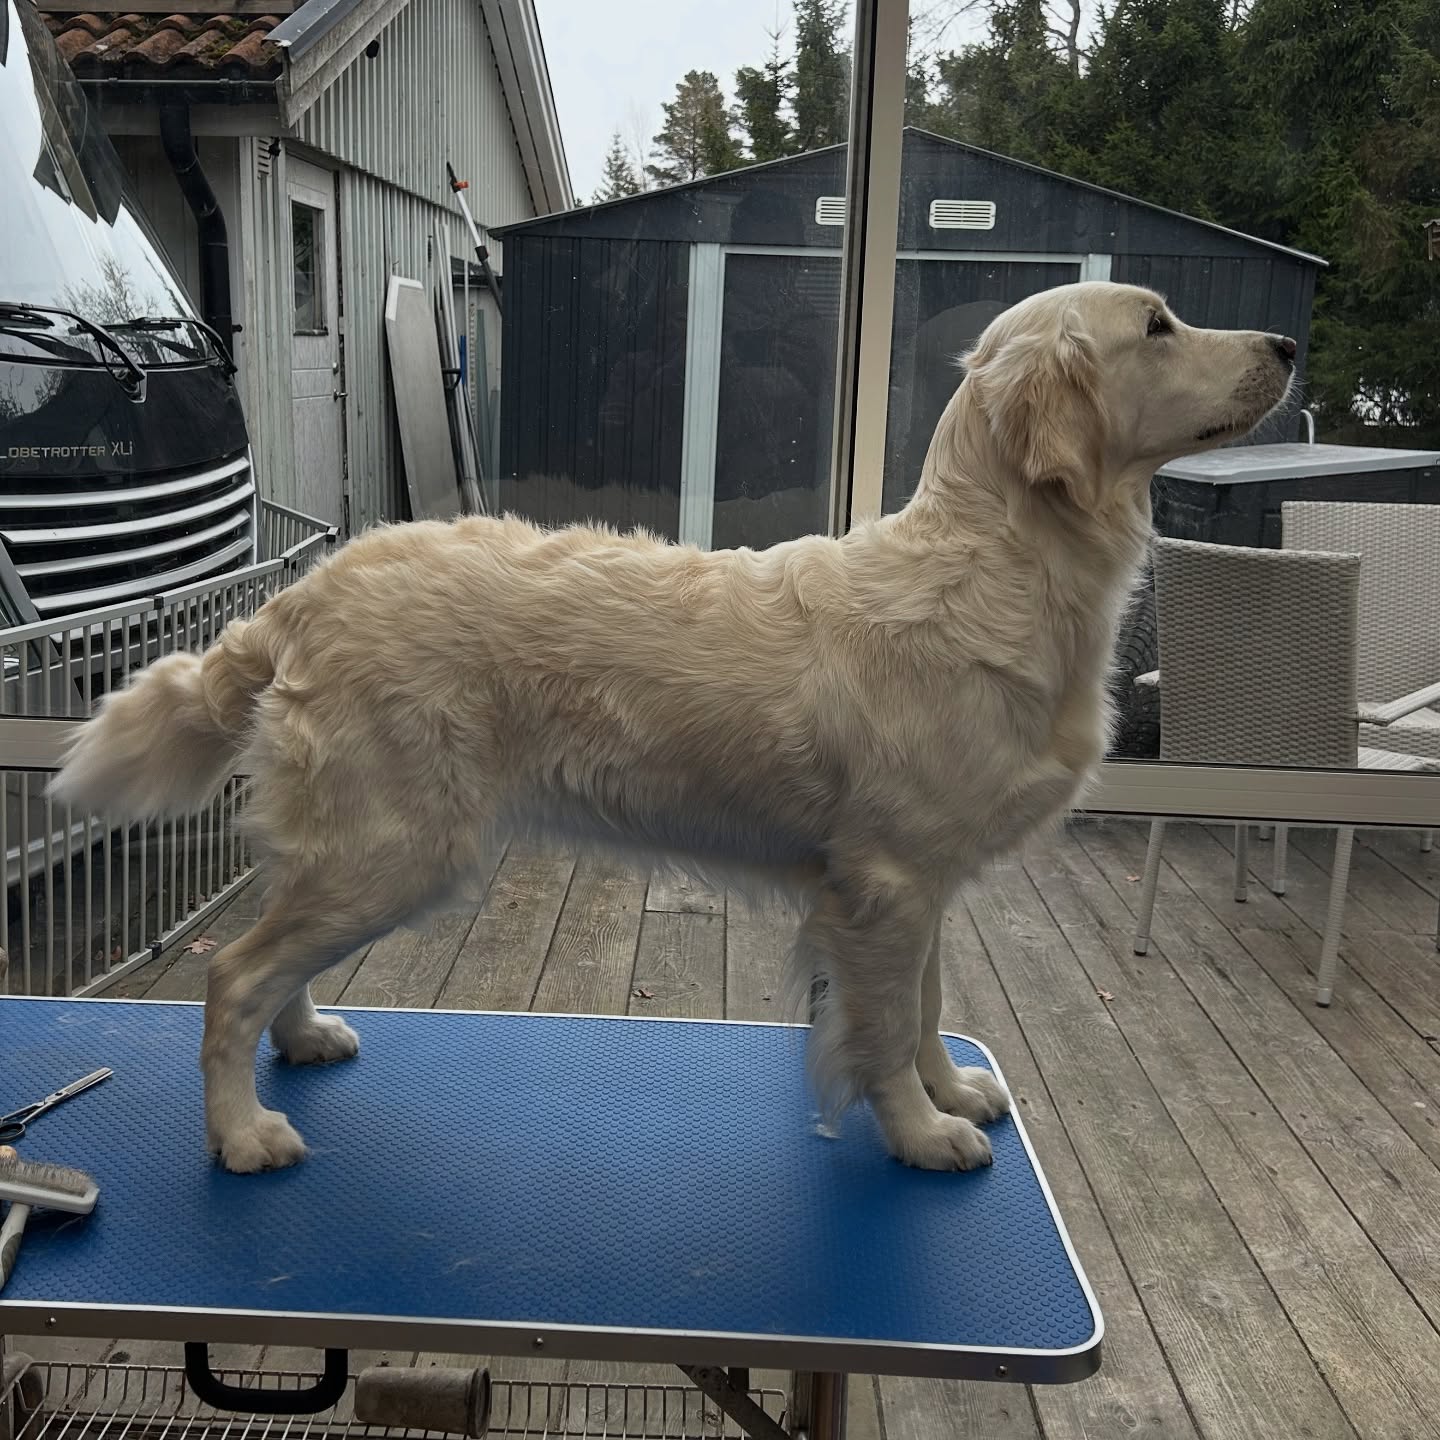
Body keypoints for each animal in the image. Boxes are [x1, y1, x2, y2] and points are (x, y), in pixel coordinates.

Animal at [52, 282, 1295, 1174]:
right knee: (233, 973)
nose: (1288, 345)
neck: (1000, 564)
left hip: (367, 846)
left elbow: (928, 1007)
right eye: (1158, 325)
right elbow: (882, 1026)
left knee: (274, 956)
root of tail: (308, 589)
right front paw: (920, 1133)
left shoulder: (921, 878)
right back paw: (242, 1133)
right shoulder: (887, 885)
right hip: (396, 845)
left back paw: (305, 1037)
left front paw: (951, 1090)